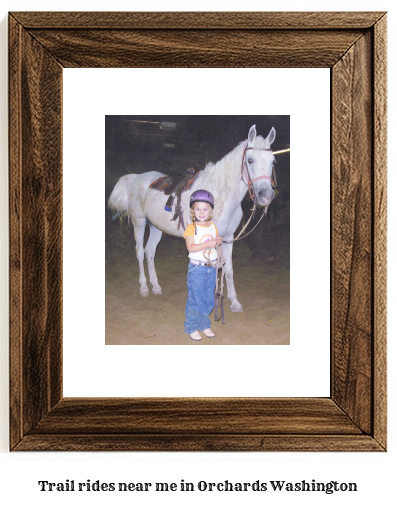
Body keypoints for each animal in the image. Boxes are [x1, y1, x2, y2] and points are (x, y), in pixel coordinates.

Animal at [108, 125, 276, 312]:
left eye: (272, 161)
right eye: (250, 160)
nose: (266, 195)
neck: (220, 195)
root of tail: (136, 177)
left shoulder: (227, 238)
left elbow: (228, 269)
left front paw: (235, 302)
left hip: (156, 227)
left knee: (149, 252)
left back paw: (156, 286)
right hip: (139, 221)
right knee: (139, 252)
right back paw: (144, 288)